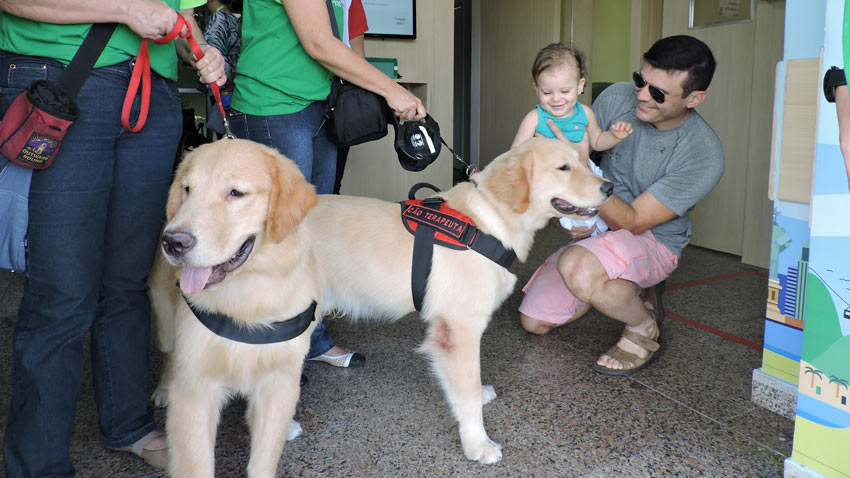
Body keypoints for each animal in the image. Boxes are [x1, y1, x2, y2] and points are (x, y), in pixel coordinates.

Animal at [147, 139, 320, 478]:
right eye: (187, 189)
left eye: (236, 193)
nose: (173, 242)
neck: (246, 296)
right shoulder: (196, 388)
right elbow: (196, 464)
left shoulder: (279, 380)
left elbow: (264, 457)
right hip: (166, 325)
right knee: (170, 355)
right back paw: (163, 389)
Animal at [304, 137, 608, 464]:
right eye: (563, 168)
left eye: (582, 161)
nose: (610, 187)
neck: (489, 222)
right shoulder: (460, 330)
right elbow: (468, 391)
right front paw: (477, 444)